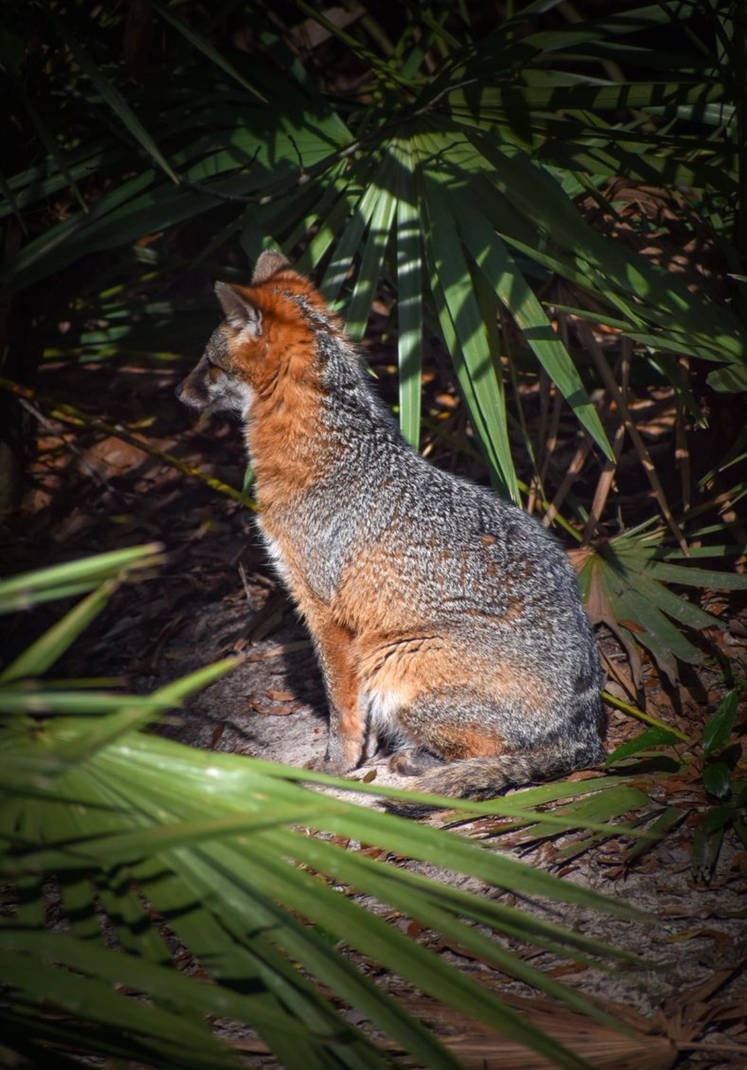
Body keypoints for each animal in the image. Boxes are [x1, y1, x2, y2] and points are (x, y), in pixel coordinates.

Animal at [176, 249, 605, 806]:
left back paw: (416, 761)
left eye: (208, 362)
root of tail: (587, 733)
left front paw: (337, 765)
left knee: (494, 753)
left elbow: (341, 708)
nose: (178, 392)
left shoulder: (325, 612)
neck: (337, 455)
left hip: (393, 658)